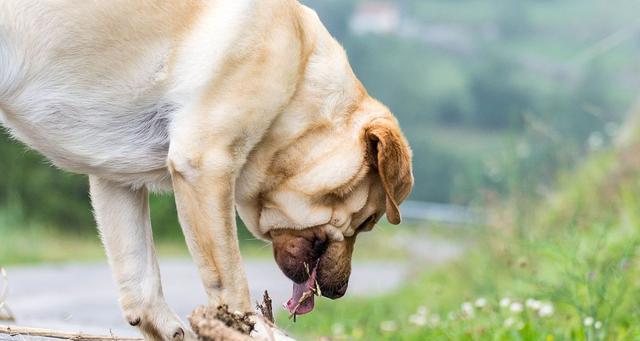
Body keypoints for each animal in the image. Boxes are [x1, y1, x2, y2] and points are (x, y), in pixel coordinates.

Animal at [0, 0, 410, 338]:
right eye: (368, 221)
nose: (340, 291)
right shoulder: (205, 165)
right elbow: (230, 283)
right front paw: (244, 328)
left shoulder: (117, 179)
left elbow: (140, 277)